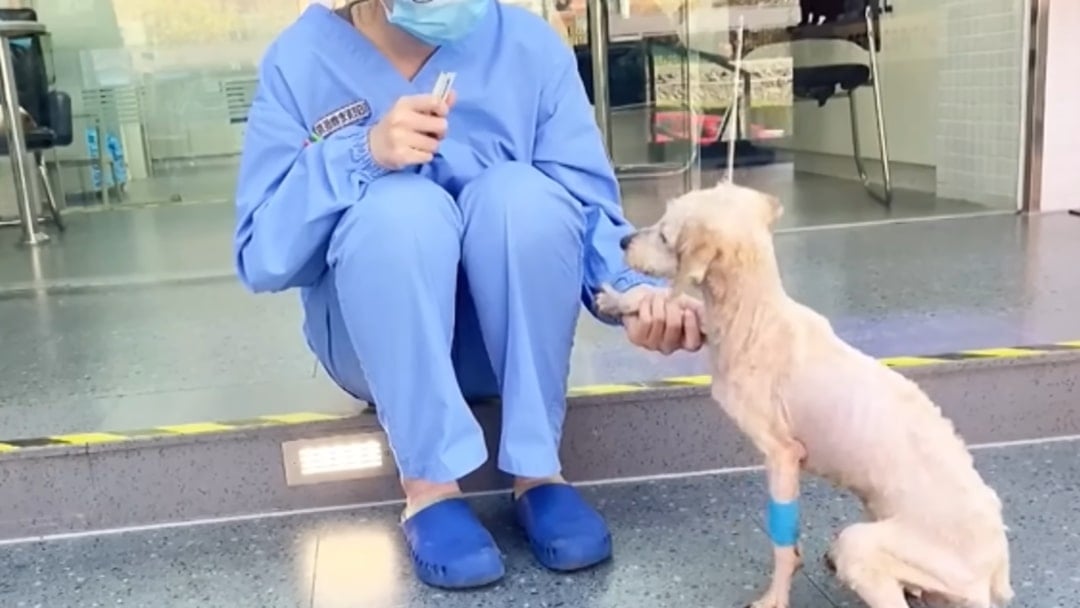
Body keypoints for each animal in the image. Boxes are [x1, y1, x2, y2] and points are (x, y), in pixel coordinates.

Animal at [600, 184, 1010, 608]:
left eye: (665, 235)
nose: (623, 241)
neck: (756, 315)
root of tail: (995, 568)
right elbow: (686, 305)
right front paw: (617, 300)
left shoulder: (782, 454)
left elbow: (783, 543)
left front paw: (775, 596)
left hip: (863, 544)